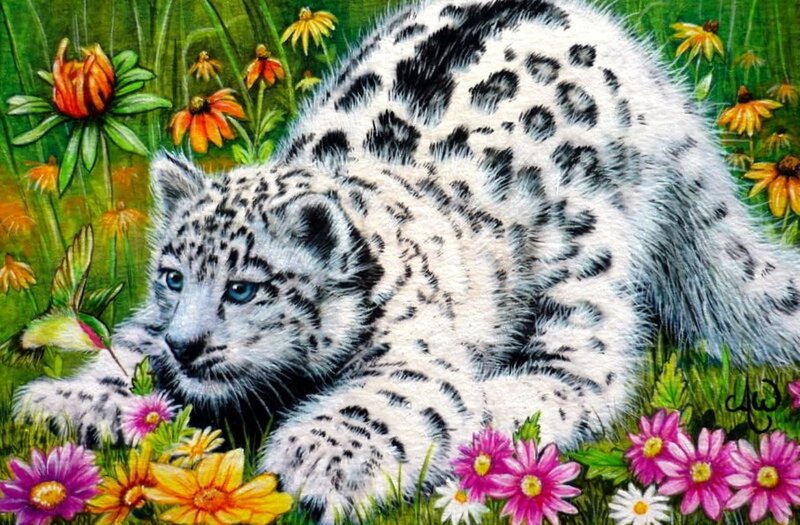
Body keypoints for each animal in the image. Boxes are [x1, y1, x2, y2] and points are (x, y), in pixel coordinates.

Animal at [15, 0, 800, 522]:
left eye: (243, 288)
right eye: (173, 277)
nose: (188, 343)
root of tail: (635, 60)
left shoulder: (414, 355)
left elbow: (382, 401)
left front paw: (314, 462)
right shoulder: (154, 323)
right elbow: (128, 348)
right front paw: (69, 404)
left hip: (584, 268)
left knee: (586, 373)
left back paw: (500, 403)